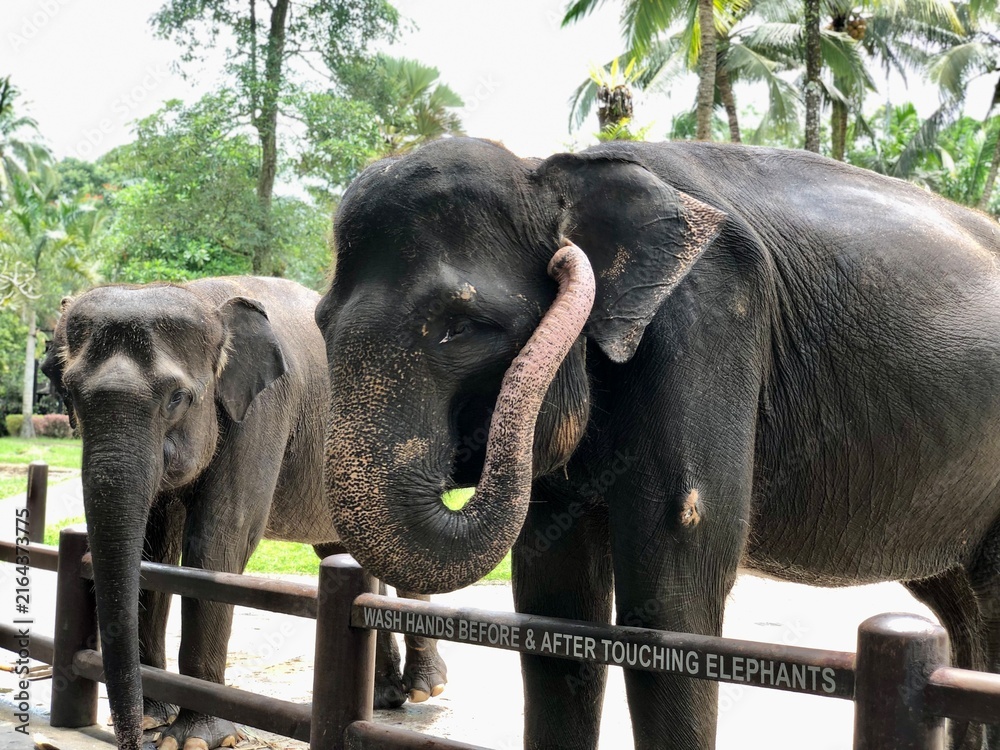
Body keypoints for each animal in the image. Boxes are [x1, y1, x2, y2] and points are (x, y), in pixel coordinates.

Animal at [41, 276, 447, 750]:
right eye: (68, 394)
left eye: (178, 398)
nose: (133, 738)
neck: (205, 301)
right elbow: (154, 550)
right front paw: (155, 719)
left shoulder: (265, 409)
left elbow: (219, 540)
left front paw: (195, 739)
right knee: (343, 554)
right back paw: (385, 697)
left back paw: (424, 689)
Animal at [315, 137, 1000, 750]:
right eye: (321, 323)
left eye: (461, 327)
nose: (564, 264)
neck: (548, 167)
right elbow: (555, 599)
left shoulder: (711, 316)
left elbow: (672, 582)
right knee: (962, 605)